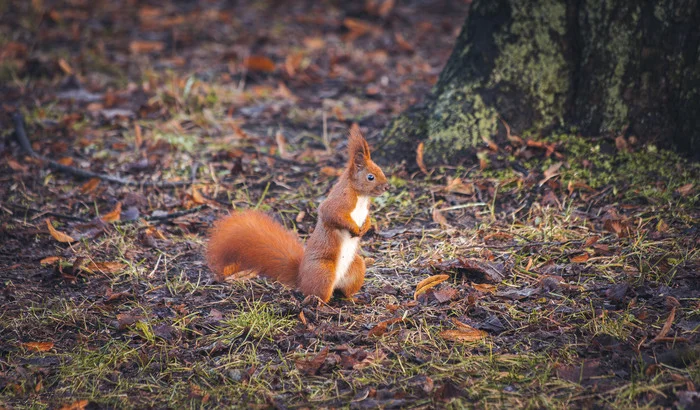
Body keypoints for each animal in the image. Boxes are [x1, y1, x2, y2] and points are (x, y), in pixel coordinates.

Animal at [206, 125, 389, 302]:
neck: (361, 197)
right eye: (370, 177)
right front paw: (355, 229)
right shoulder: (338, 202)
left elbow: (368, 218)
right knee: (317, 294)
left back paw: (354, 298)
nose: (387, 186)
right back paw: (319, 304)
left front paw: (365, 227)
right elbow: (332, 214)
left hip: (356, 267)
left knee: (343, 291)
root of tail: (301, 278)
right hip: (323, 271)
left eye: (381, 169)